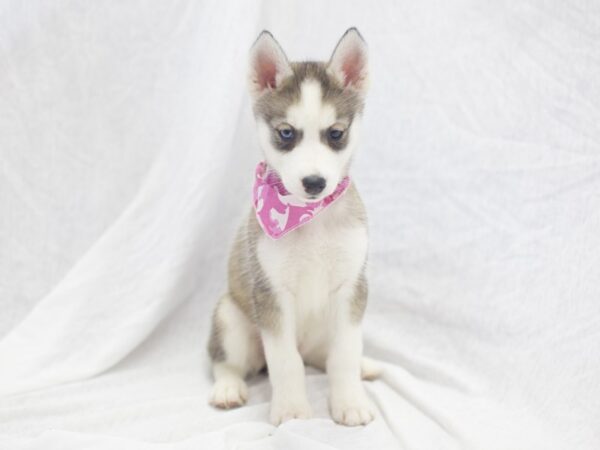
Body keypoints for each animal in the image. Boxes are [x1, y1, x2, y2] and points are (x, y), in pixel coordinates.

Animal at [206, 27, 378, 426]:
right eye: (286, 133)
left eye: (336, 134)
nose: (314, 183)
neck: (309, 218)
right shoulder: (271, 294)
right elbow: (286, 362)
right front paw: (292, 411)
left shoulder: (352, 287)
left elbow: (344, 355)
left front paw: (350, 402)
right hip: (230, 317)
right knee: (226, 361)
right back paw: (227, 388)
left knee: (325, 356)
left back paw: (364, 366)